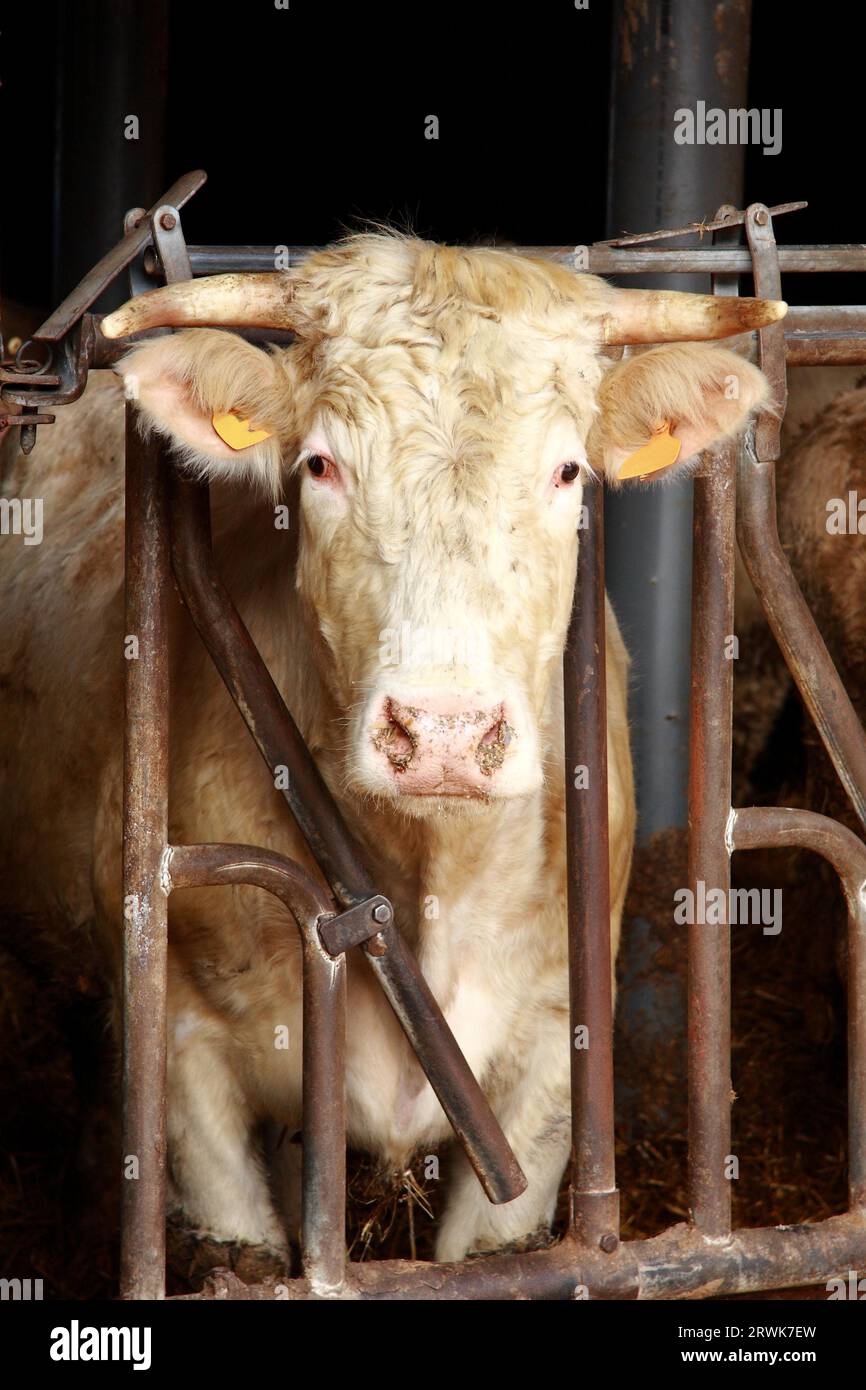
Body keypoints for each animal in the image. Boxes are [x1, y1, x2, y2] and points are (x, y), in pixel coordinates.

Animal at [0, 233, 783, 1267]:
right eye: (321, 465)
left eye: (568, 472)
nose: (445, 732)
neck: (429, 873)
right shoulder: (183, 1058)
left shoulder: (552, 1062)